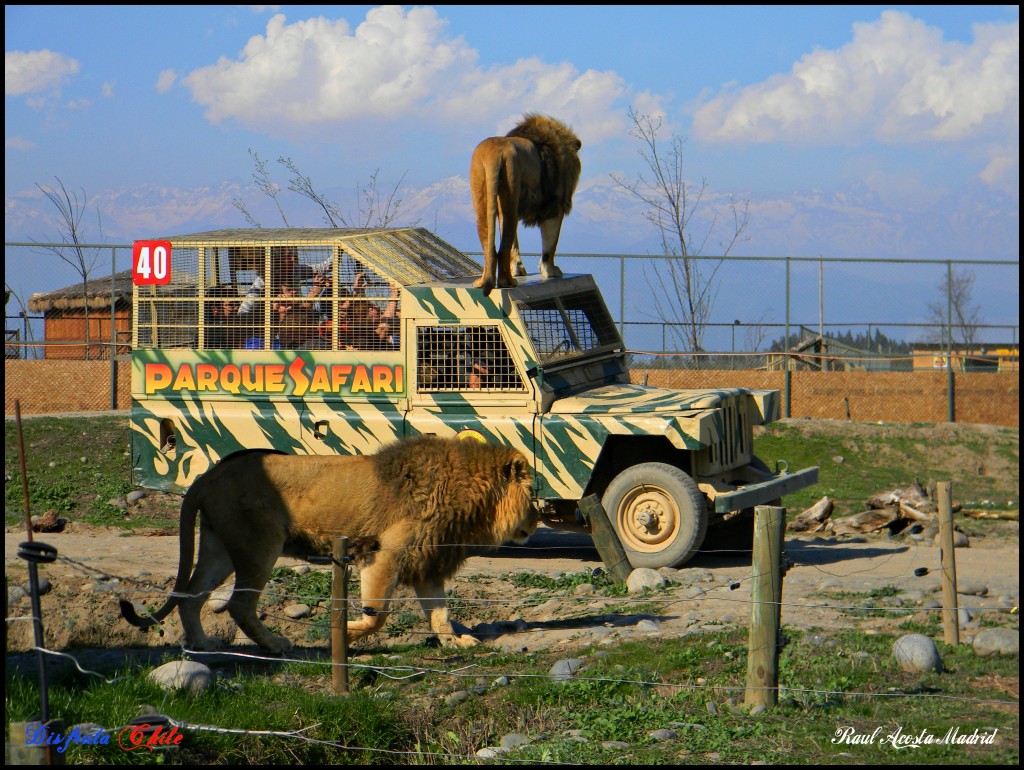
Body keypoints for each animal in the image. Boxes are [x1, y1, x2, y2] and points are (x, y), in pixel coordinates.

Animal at [118, 436, 536, 651]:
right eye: (532, 496)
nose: (535, 521)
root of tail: (206, 475)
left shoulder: (426, 562)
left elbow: (439, 612)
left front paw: (455, 643)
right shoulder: (384, 554)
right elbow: (377, 616)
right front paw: (342, 633)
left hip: (219, 548)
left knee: (191, 596)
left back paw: (203, 645)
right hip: (259, 546)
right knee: (238, 604)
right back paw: (276, 645)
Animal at [468, 112, 581, 296]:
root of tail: (493, 154)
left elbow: (515, 245)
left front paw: (518, 269)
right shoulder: (554, 208)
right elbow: (550, 246)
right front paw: (550, 271)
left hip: (482, 192)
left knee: (491, 246)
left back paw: (483, 282)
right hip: (510, 190)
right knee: (504, 246)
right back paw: (507, 282)